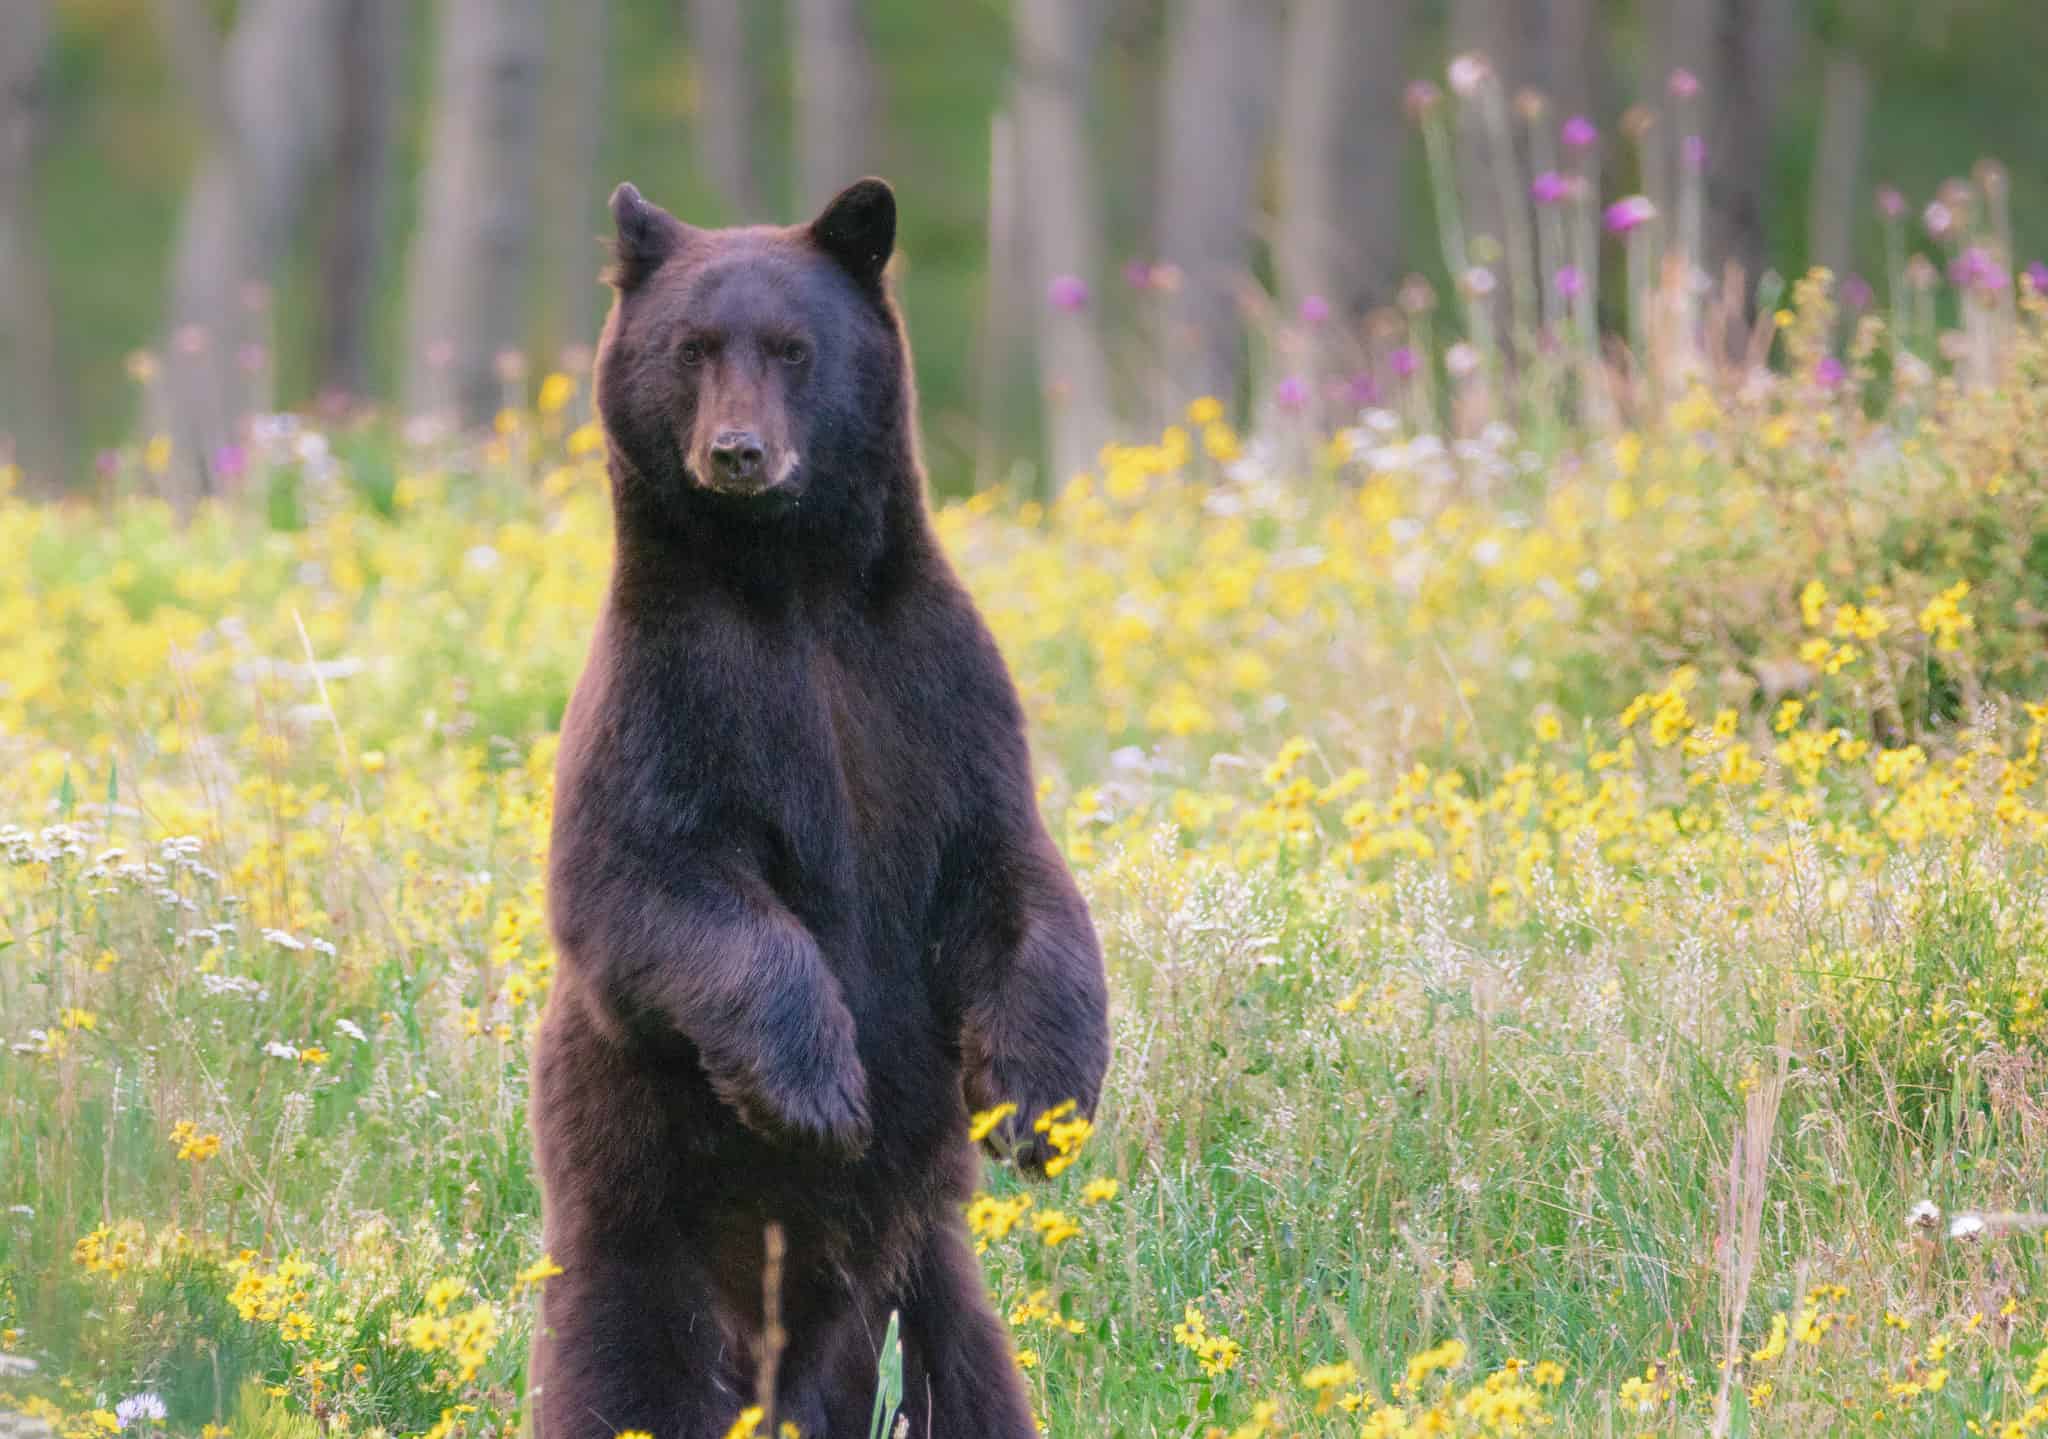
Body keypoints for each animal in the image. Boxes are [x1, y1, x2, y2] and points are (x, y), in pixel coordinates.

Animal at [524, 180, 1105, 1439]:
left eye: (793, 347)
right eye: (693, 347)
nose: (737, 452)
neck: (790, 582)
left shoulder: (926, 688)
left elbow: (1010, 870)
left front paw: (1040, 1104)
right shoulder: (675, 694)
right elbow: (649, 881)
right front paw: (820, 1090)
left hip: (929, 1293)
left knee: (972, 1391)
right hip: (641, 1266)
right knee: (620, 1384)